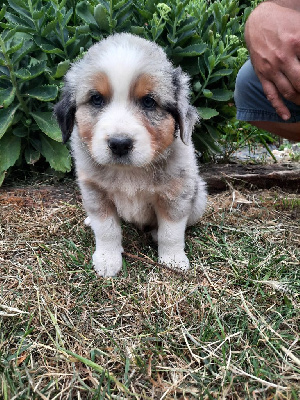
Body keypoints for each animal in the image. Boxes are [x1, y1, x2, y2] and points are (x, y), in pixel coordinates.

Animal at [55, 32, 206, 276]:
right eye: (96, 99)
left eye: (149, 101)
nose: (119, 144)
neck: (129, 172)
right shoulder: (95, 191)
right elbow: (106, 229)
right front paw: (107, 259)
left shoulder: (176, 193)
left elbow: (171, 231)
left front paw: (173, 260)